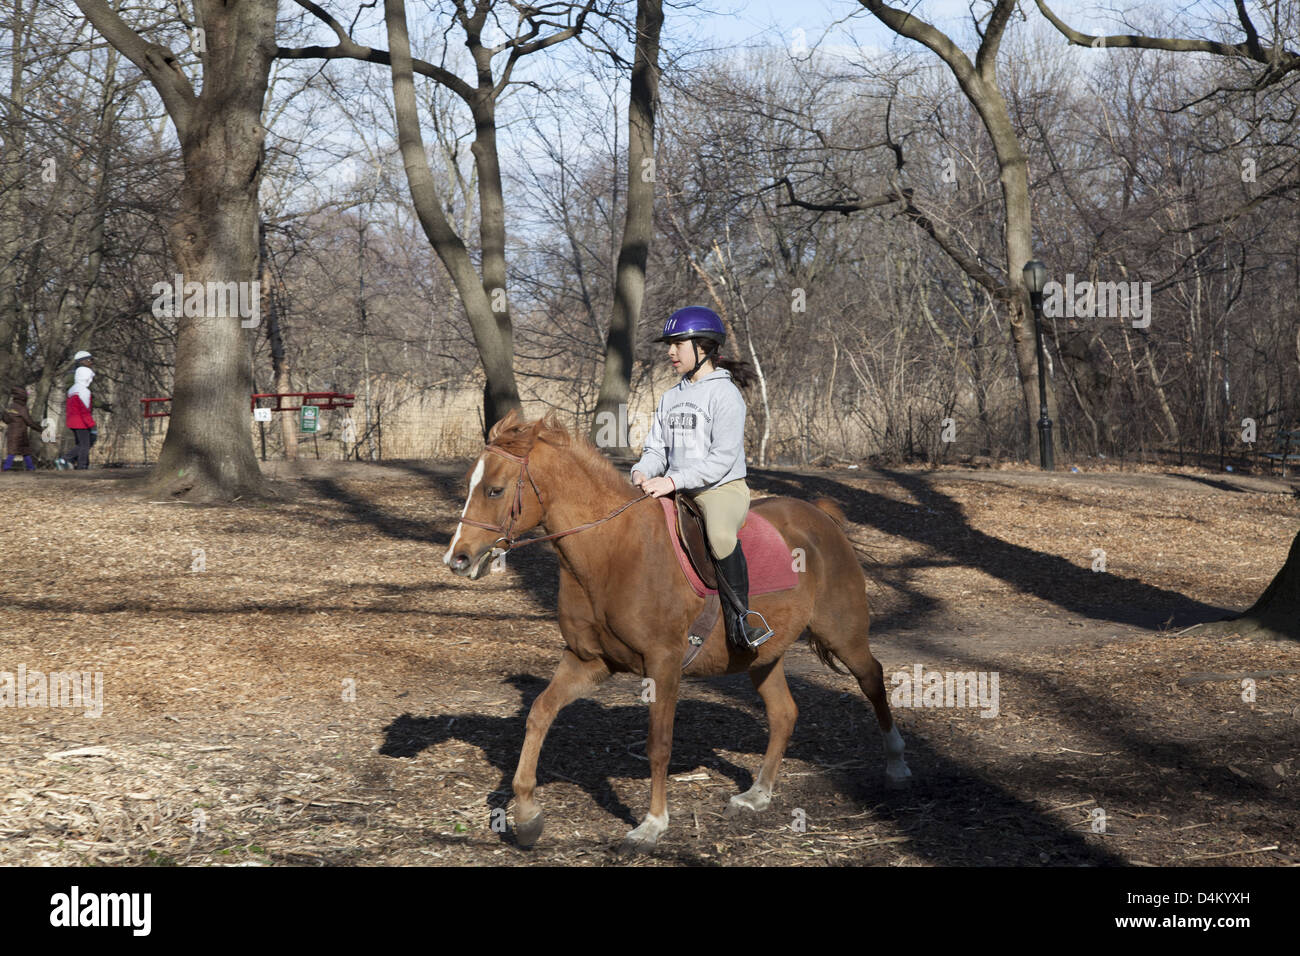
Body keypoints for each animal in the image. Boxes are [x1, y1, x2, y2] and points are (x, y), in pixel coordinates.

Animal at [443, 409, 911, 852]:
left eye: (495, 490)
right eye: (470, 485)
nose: (457, 559)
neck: (611, 551)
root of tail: (820, 516)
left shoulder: (663, 663)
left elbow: (659, 744)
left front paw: (652, 825)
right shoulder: (588, 661)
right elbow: (539, 713)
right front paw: (526, 816)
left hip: (842, 633)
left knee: (872, 679)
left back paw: (897, 767)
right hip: (763, 655)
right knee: (783, 713)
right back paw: (756, 795)